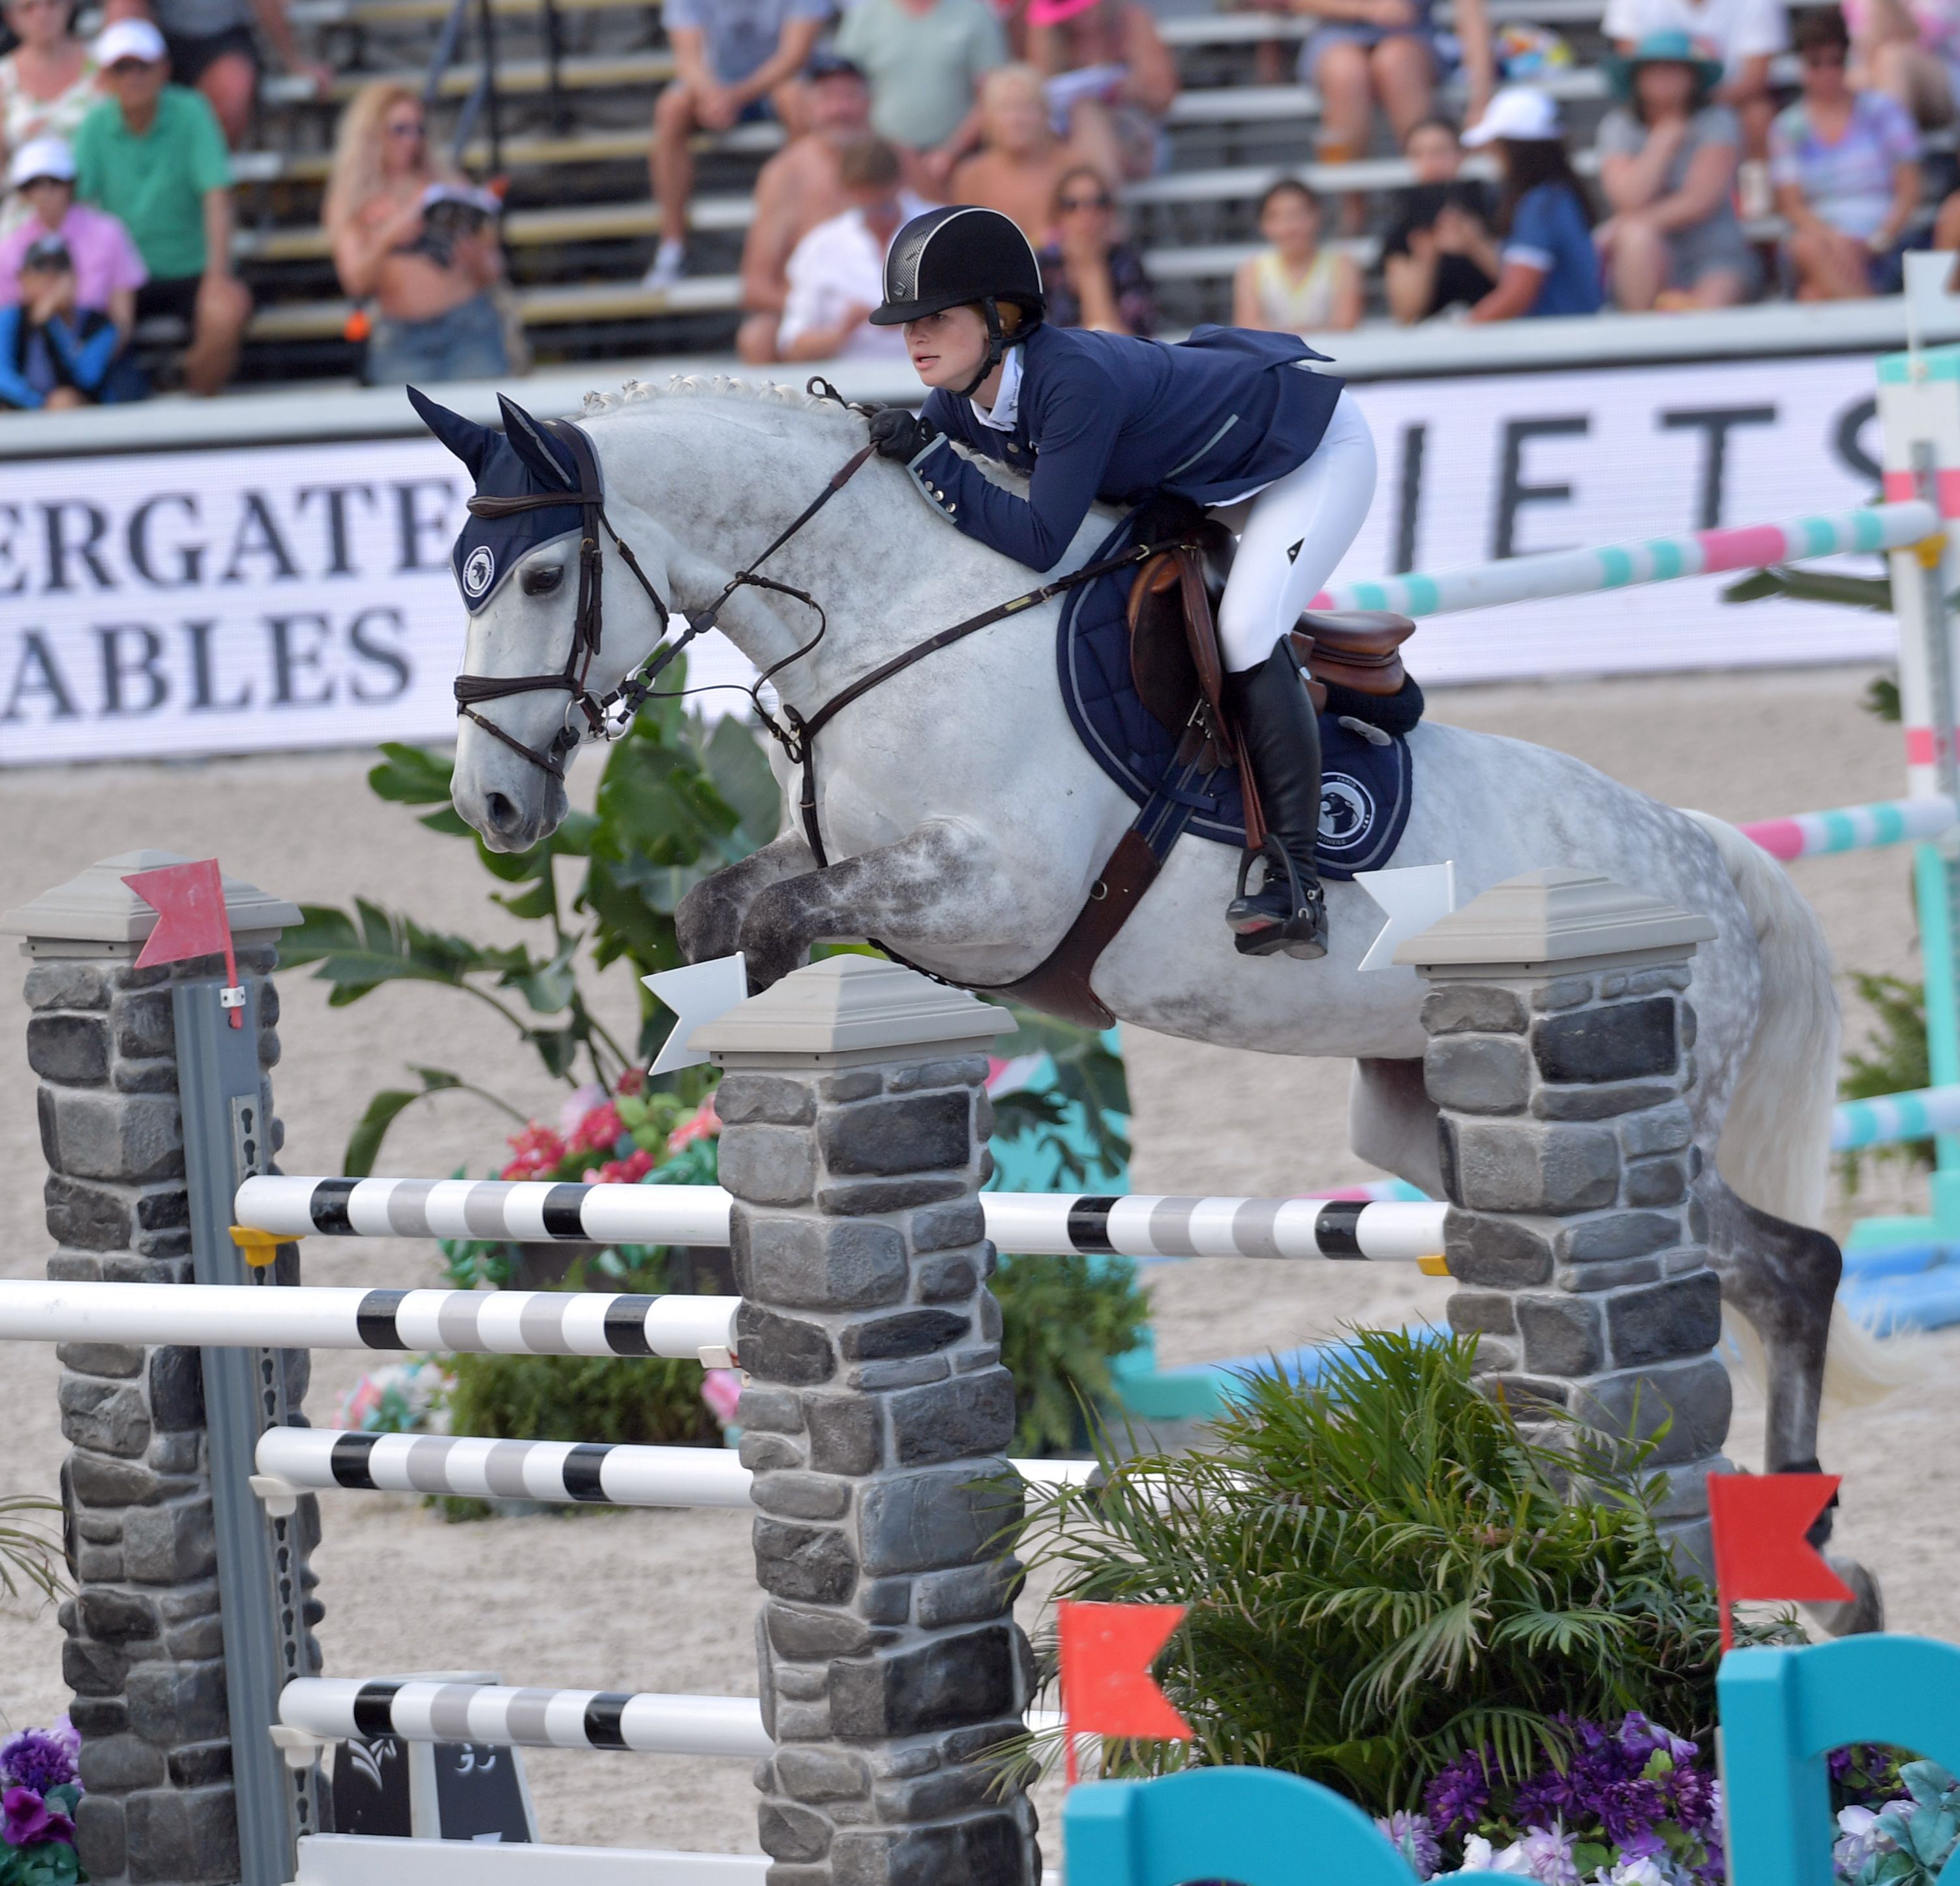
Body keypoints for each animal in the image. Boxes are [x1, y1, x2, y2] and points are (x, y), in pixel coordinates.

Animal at [421, 374, 1889, 1607]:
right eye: (462, 578)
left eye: (543, 571)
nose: (490, 804)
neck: (897, 618)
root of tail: (1703, 854)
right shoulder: (858, 867)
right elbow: (718, 906)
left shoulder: (989, 899)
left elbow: (780, 922)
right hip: (1422, 1118)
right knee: (1750, 1275)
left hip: (1658, 1102)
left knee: (1787, 1270)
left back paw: (1805, 1548)